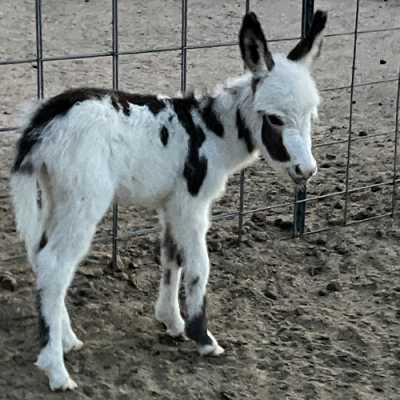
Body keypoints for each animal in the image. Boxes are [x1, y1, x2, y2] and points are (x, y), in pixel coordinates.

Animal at [10, 10, 326, 390]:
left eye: (311, 115)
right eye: (275, 118)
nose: (306, 170)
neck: (212, 131)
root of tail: (41, 123)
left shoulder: (173, 203)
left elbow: (172, 258)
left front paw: (172, 322)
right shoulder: (192, 203)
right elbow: (200, 266)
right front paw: (203, 337)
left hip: (55, 195)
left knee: (43, 258)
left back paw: (67, 339)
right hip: (83, 201)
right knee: (55, 265)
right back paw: (56, 369)